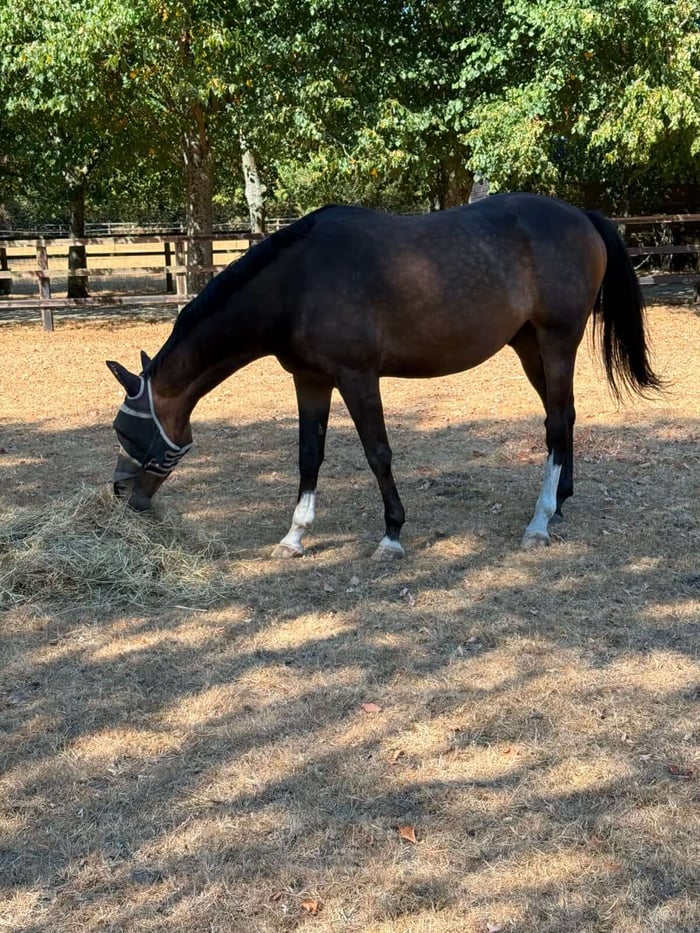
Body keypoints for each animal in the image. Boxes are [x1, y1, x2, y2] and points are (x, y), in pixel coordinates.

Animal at [107, 193, 661, 560]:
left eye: (126, 431)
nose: (122, 495)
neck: (298, 282)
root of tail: (581, 216)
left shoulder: (357, 378)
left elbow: (378, 453)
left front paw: (392, 534)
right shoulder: (310, 380)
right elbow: (309, 455)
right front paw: (295, 536)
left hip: (557, 339)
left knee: (558, 421)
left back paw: (540, 521)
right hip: (528, 346)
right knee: (560, 418)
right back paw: (560, 502)